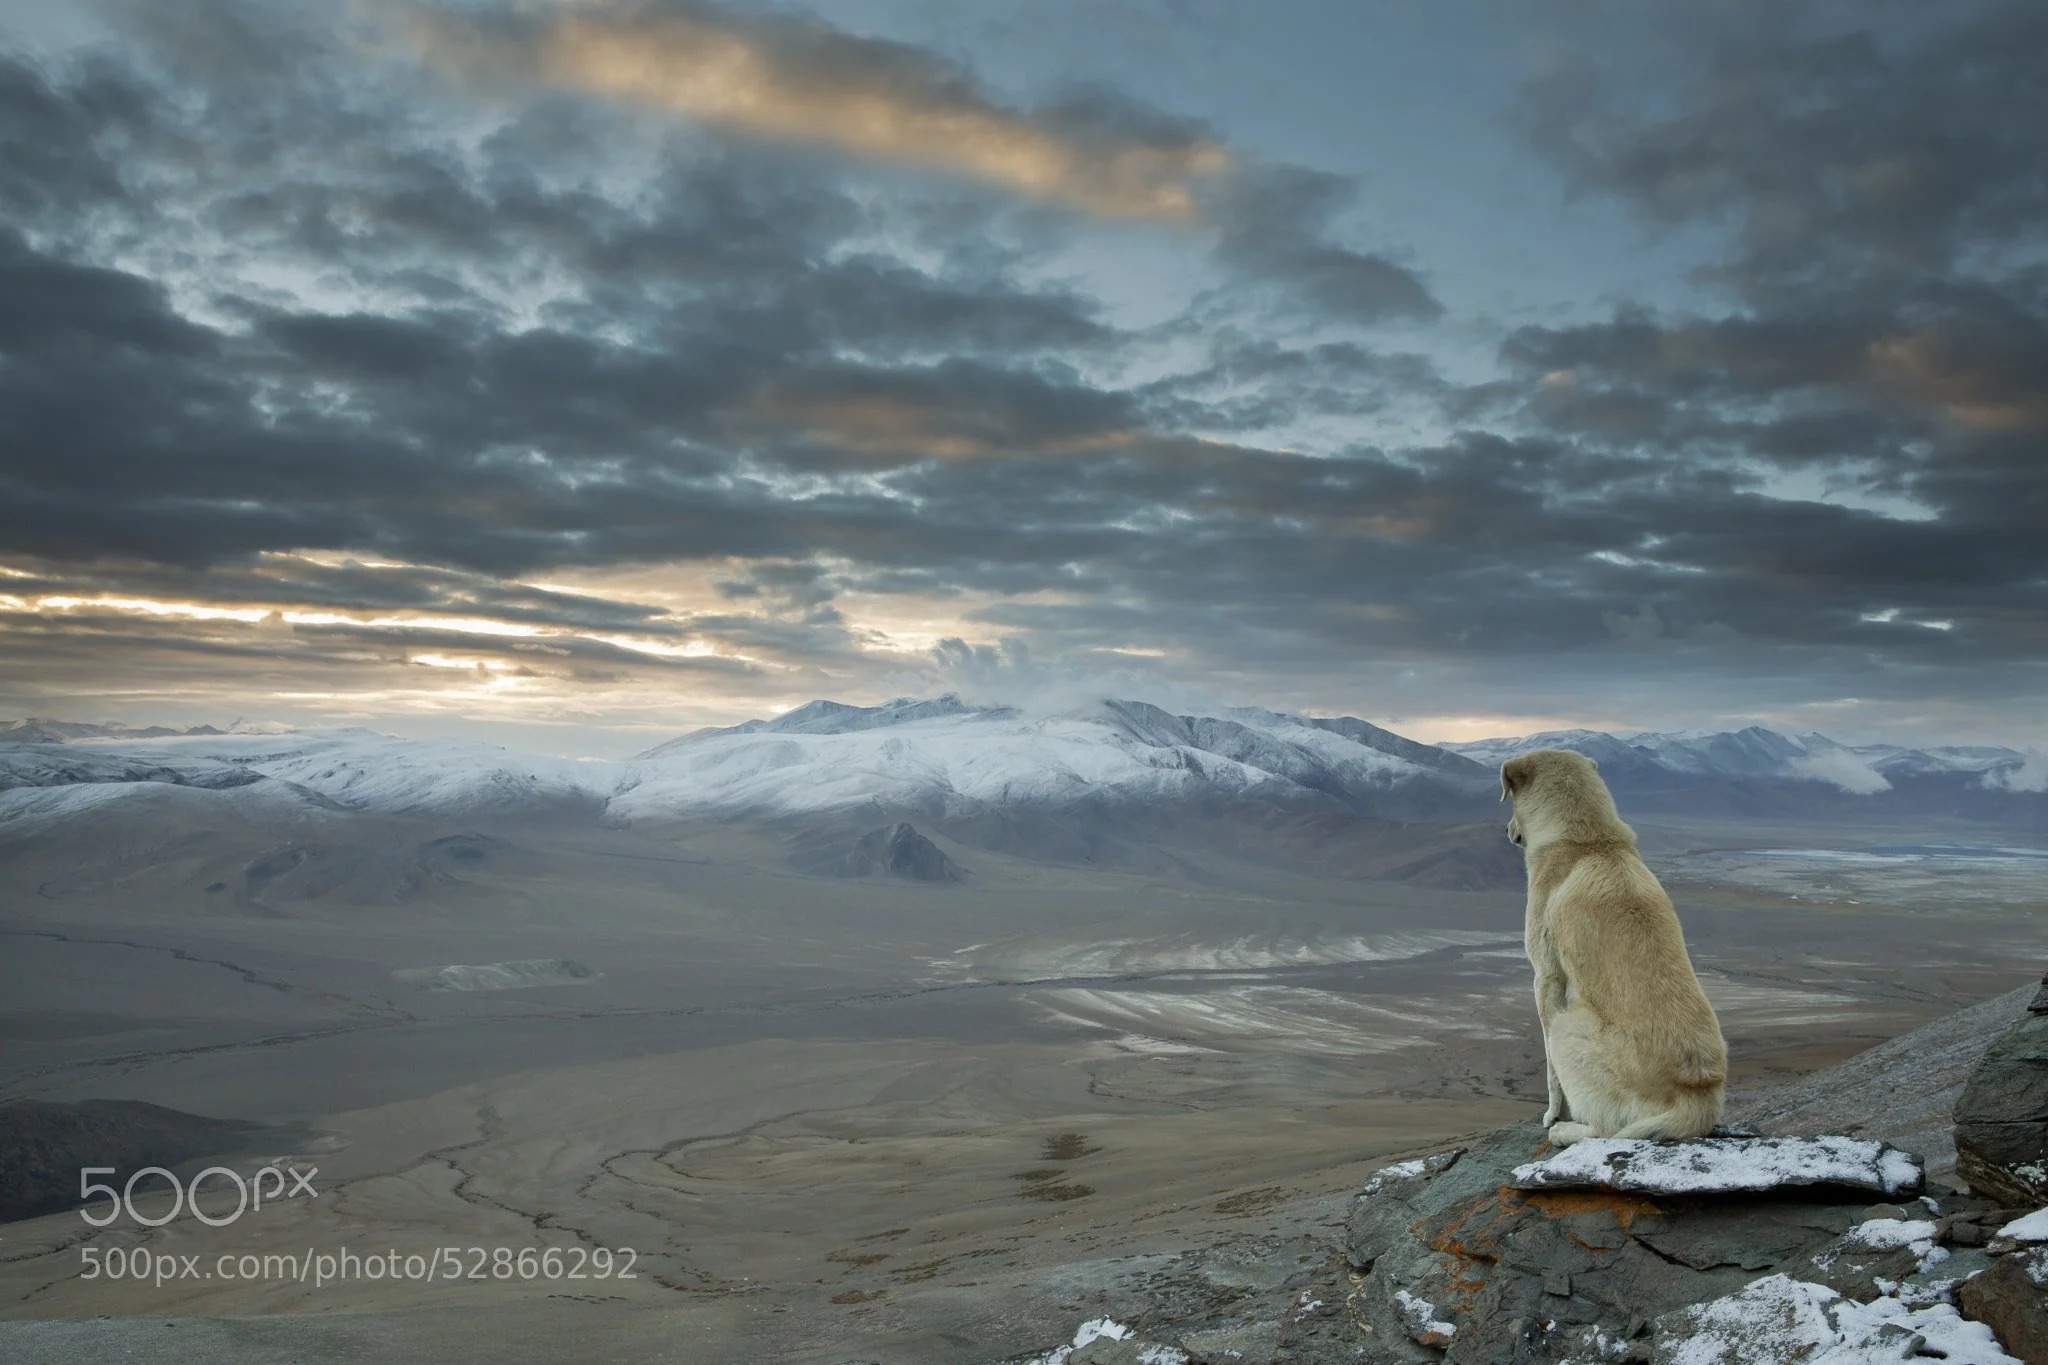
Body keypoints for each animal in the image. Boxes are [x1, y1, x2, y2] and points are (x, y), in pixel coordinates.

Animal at [1507, 753, 1728, 1146]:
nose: (1506, 830)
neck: (1592, 841)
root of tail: (1696, 1096)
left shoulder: (1545, 978)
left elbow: (1550, 1072)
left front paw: (1552, 1115)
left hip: (1568, 1026)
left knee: (1606, 1129)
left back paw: (1564, 1131)